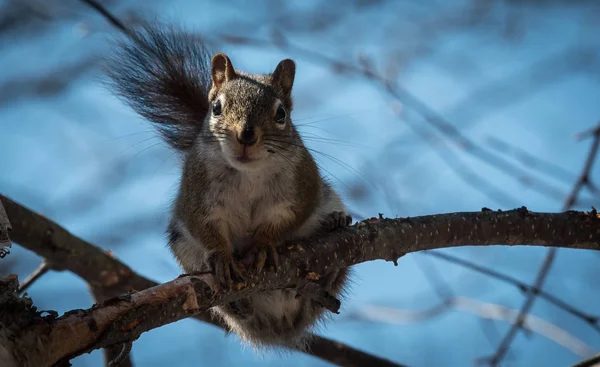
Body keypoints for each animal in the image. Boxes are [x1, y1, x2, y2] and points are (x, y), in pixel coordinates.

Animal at [106, 23, 352, 350]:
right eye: (216, 108)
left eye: (281, 114)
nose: (246, 135)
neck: (248, 174)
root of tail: (281, 326)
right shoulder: (196, 193)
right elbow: (202, 224)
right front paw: (222, 256)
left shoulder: (302, 186)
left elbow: (291, 216)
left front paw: (262, 244)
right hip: (184, 248)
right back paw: (239, 304)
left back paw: (332, 242)